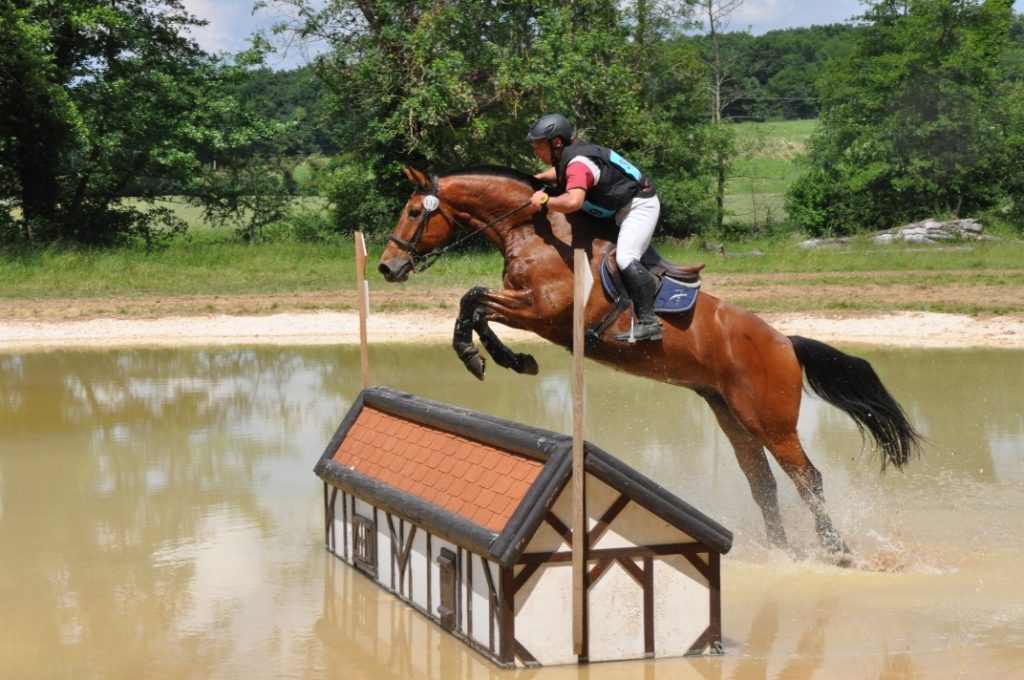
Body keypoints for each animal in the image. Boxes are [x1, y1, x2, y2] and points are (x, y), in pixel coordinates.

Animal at [376, 164, 921, 557]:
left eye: (412, 211)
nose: (387, 267)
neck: (532, 231)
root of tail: (785, 342)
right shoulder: (527, 308)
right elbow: (474, 305)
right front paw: (504, 358)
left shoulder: (541, 310)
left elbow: (473, 299)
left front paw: (482, 356)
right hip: (731, 415)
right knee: (762, 482)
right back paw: (782, 552)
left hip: (771, 420)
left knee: (807, 479)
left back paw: (836, 551)